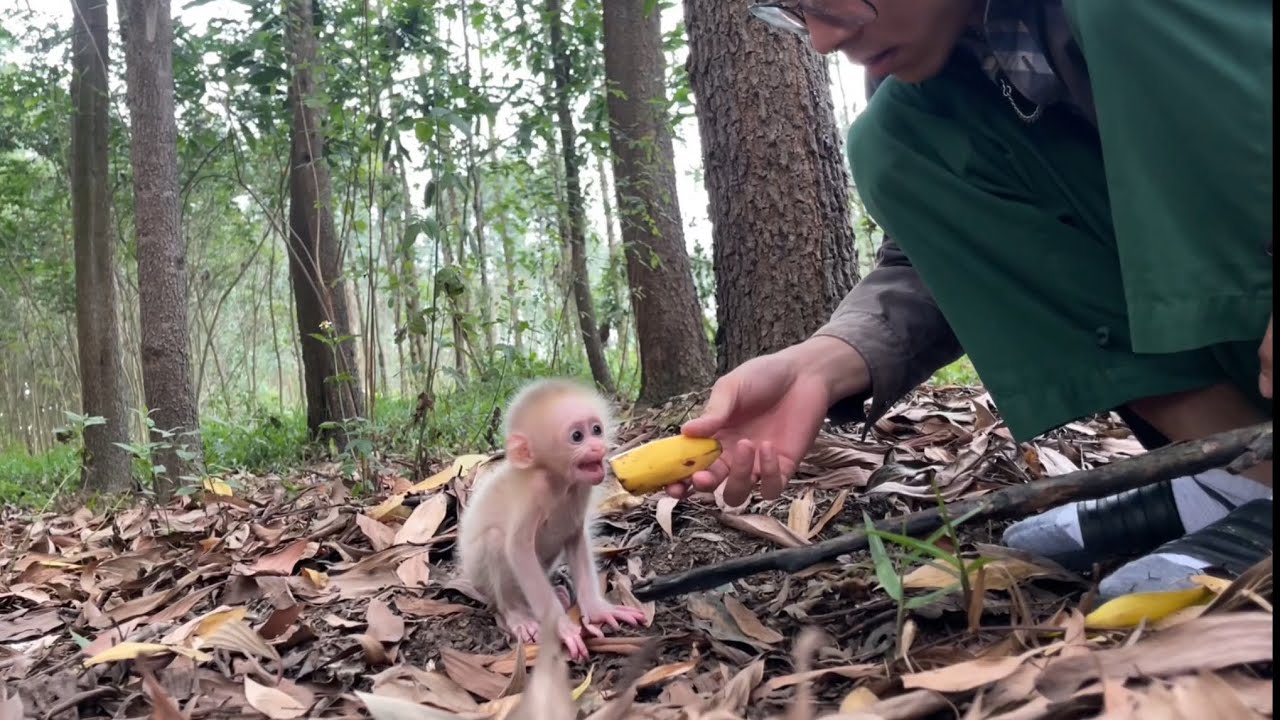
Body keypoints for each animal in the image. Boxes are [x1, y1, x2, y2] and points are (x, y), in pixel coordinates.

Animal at [455, 378, 648, 660]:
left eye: (597, 430)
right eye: (577, 436)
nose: (599, 447)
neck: (558, 481)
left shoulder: (581, 488)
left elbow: (575, 536)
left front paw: (597, 609)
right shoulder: (535, 493)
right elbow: (519, 550)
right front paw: (562, 627)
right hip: (482, 578)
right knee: (495, 540)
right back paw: (518, 614)